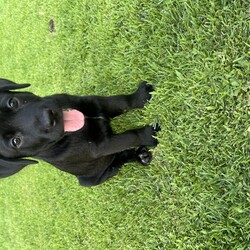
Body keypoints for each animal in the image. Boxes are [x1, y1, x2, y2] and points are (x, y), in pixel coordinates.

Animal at [0, 78, 160, 186]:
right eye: (16, 141)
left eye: (12, 102)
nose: (49, 118)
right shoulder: (100, 147)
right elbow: (129, 137)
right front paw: (149, 134)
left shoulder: (94, 101)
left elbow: (122, 101)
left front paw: (141, 97)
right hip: (93, 178)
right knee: (119, 159)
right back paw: (140, 156)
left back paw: (142, 155)